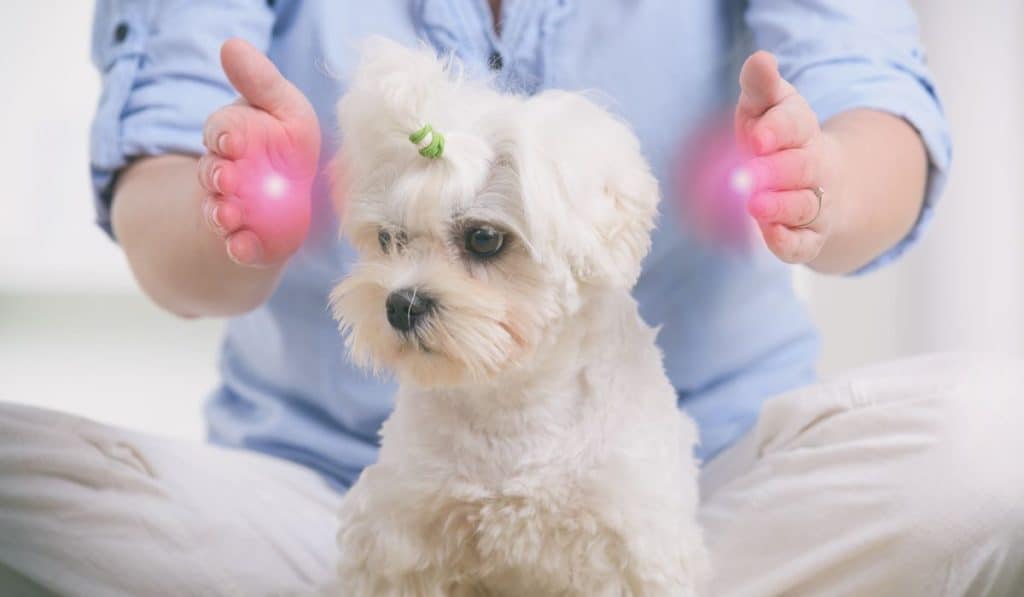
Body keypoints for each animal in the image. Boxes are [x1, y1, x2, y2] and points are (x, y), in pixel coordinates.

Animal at [331, 38, 708, 597]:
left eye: (484, 238)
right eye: (388, 239)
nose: (400, 304)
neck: (512, 406)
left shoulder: (633, 546)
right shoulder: (400, 536)